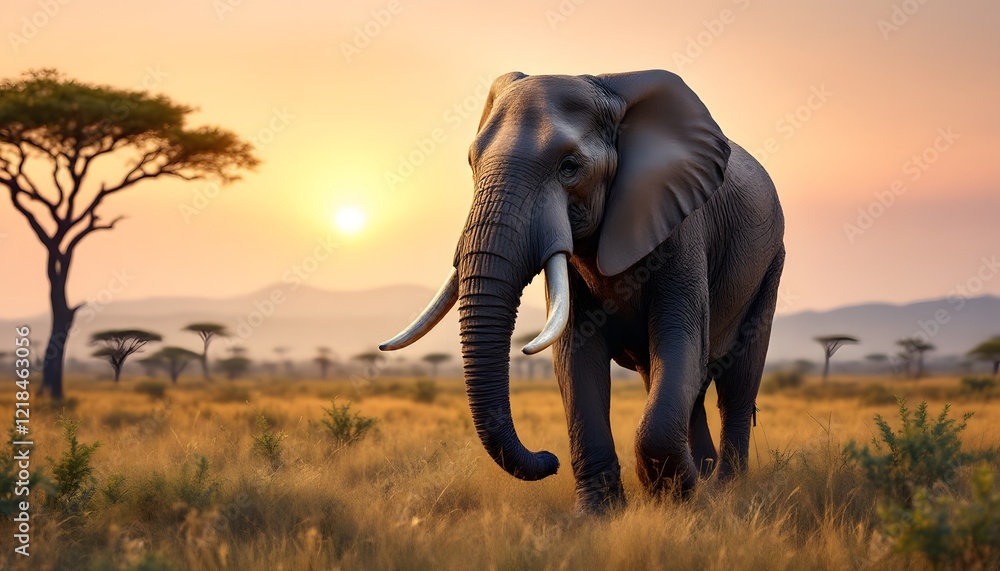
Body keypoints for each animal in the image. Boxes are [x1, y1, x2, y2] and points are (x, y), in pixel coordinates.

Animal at [381, 69, 785, 513]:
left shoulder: (682, 227)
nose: (548, 459)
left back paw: (723, 486)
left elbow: (680, 339)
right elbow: (576, 356)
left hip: (770, 265)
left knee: (736, 384)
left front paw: (674, 498)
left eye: (569, 167)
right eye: (471, 163)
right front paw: (601, 513)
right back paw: (707, 474)